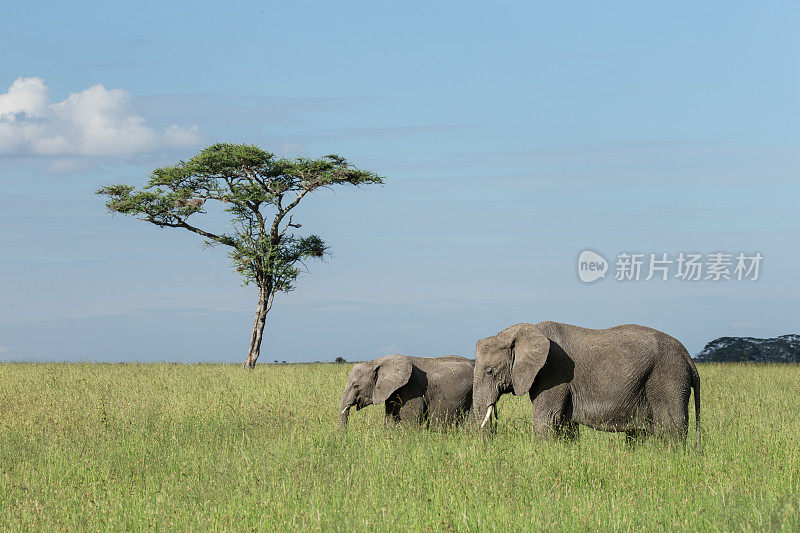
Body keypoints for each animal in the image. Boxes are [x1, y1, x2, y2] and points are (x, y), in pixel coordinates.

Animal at [476, 324, 700, 440]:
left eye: (489, 371)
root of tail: (688, 357)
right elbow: (564, 423)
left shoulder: (552, 372)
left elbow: (547, 419)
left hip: (669, 378)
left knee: (671, 428)